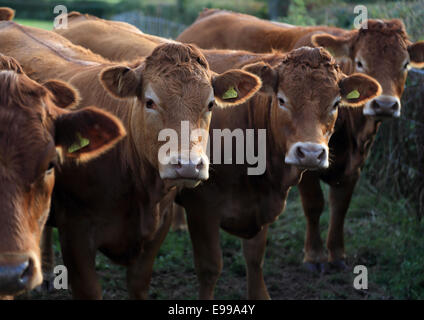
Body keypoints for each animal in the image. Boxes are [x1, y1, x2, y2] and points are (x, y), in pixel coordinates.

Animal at [50, 13, 384, 298]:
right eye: (282, 99)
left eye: (336, 103)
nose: (311, 153)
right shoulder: (203, 207)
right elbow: (210, 267)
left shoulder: (259, 205)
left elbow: (255, 259)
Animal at [178, 8, 424, 272]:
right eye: (360, 62)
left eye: (405, 65)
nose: (385, 105)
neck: (350, 134)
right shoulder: (304, 164)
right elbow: (314, 204)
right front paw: (314, 256)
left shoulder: (354, 165)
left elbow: (341, 206)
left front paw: (337, 254)